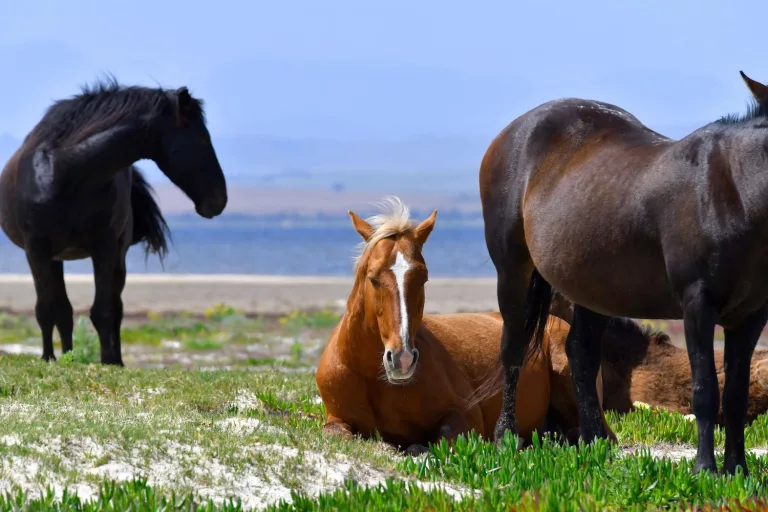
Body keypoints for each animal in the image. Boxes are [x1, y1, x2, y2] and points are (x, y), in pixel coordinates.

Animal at [316, 198, 616, 454]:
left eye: (423, 278)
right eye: (373, 278)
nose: (402, 359)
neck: (371, 376)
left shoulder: (466, 417)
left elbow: (438, 441)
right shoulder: (336, 418)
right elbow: (336, 432)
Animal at [480, 71, 768, 476]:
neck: (735, 192)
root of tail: (512, 131)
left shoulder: (751, 314)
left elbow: (737, 396)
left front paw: (737, 470)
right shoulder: (698, 305)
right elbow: (706, 391)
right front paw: (705, 471)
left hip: (592, 287)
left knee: (580, 353)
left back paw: (594, 442)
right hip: (512, 270)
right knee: (515, 347)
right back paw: (506, 437)